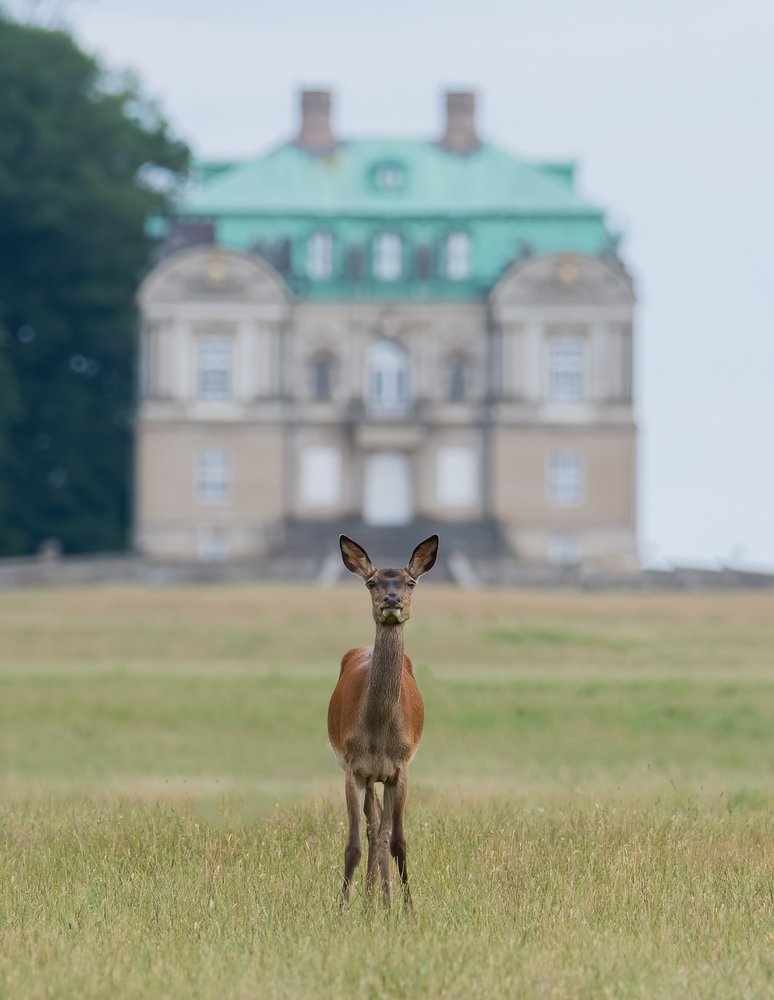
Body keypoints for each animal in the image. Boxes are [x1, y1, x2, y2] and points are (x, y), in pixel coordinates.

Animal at [327, 533, 439, 908]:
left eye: (410, 582)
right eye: (371, 582)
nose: (392, 600)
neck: (377, 736)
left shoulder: (400, 768)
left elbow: (399, 840)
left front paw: (406, 909)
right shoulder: (353, 769)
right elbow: (353, 844)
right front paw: (343, 909)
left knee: (383, 830)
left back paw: (381, 901)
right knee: (373, 827)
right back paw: (370, 900)